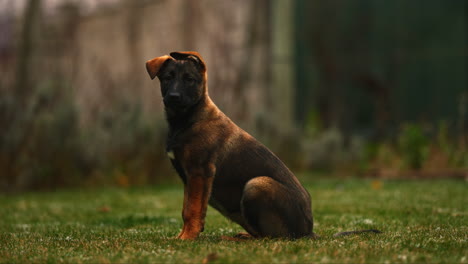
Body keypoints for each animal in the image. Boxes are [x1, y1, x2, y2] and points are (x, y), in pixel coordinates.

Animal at [146, 51, 314, 239]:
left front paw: (188, 237)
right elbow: (186, 209)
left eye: (189, 79)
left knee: (270, 237)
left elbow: (192, 209)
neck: (187, 120)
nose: (174, 96)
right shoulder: (188, 178)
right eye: (167, 78)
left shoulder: (199, 172)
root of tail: (308, 230)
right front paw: (182, 236)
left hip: (256, 184)